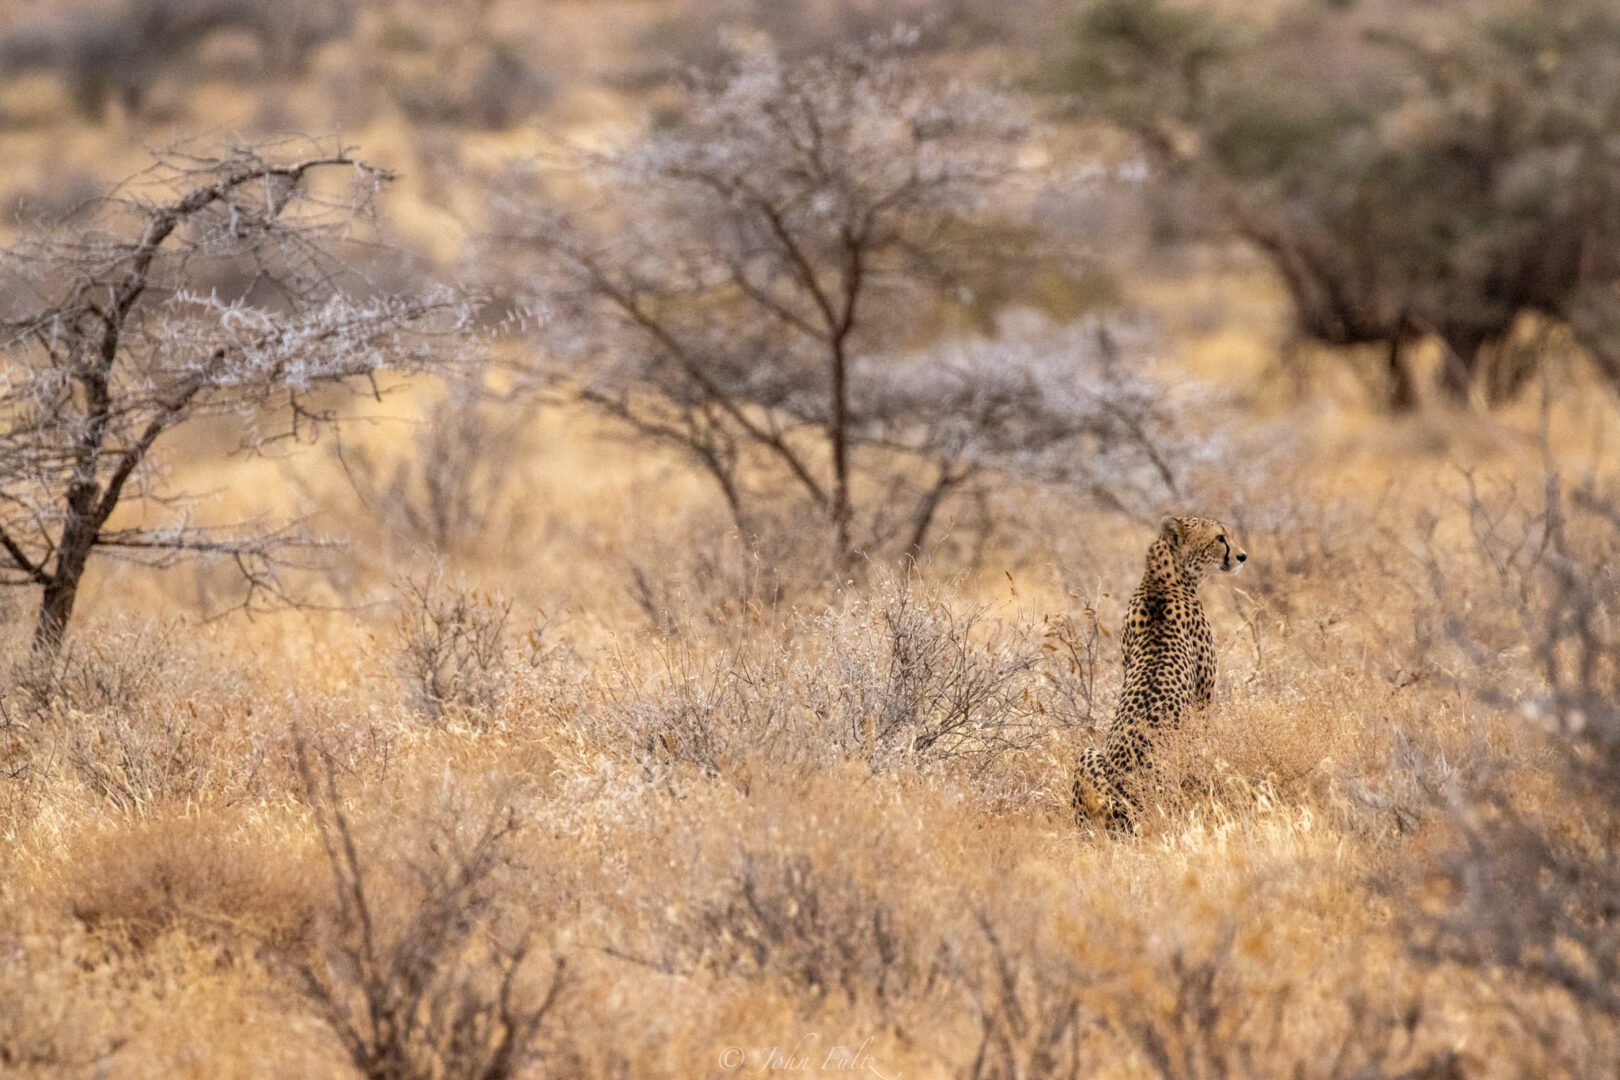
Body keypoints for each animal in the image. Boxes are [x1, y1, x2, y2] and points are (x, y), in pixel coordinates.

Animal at [1069, 518, 1244, 835]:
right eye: (1220, 538)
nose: (1242, 556)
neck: (1162, 579)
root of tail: (1123, 800)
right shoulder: (1203, 697)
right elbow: (1207, 737)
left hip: (1088, 760)